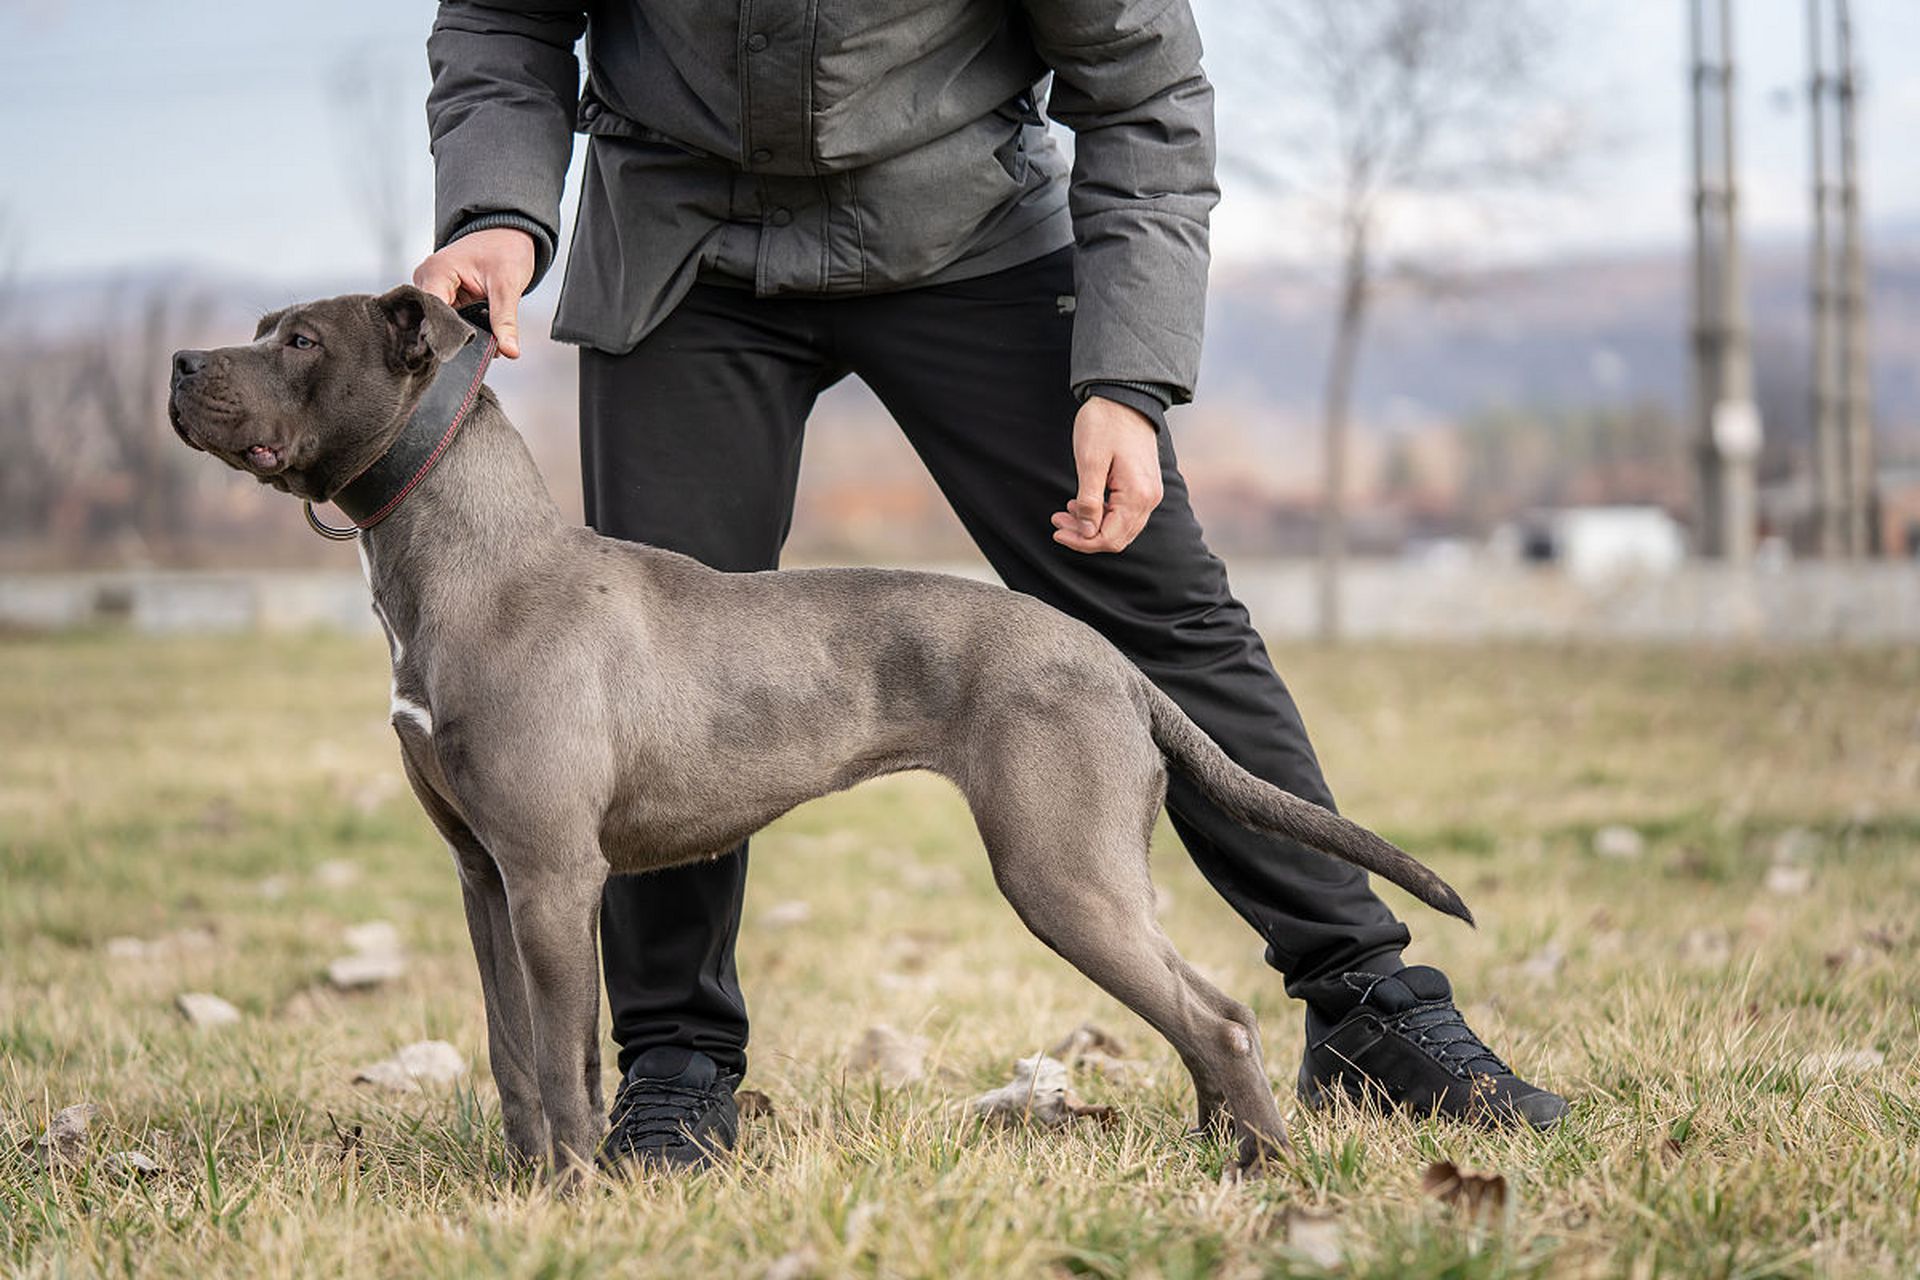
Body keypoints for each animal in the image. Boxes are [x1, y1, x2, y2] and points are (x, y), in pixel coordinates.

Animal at [168, 285, 1466, 1174]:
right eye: (264, 327)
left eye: (300, 341)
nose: (179, 362)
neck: (472, 563)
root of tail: (1118, 664)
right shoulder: (485, 876)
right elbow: (511, 1051)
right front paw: (526, 1183)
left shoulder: (551, 874)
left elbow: (563, 1053)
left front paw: (576, 1190)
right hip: (1095, 876)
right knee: (1202, 1013)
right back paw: (1222, 1148)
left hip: (1059, 872)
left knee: (1221, 1014)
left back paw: (1266, 1163)